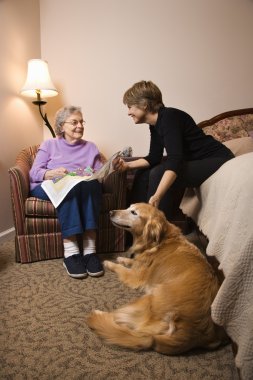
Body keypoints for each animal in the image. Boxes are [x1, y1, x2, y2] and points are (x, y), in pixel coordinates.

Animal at [86, 203, 225, 354]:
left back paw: (100, 314)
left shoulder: (135, 277)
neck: (157, 241)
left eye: (134, 213)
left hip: (149, 298)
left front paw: (108, 263)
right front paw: (122, 258)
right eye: (129, 207)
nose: (111, 212)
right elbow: (132, 261)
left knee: (122, 320)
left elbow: (121, 268)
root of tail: (192, 332)